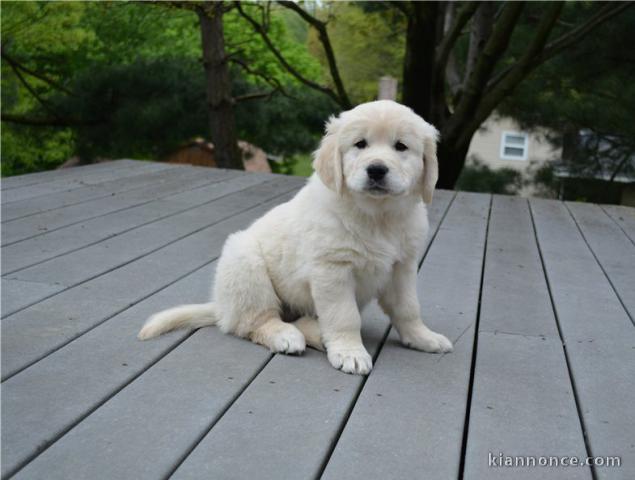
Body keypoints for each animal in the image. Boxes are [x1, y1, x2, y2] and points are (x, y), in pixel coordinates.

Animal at [140, 99, 452, 374]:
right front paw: (350, 352)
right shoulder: (333, 270)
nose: (376, 170)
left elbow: (408, 307)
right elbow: (344, 316)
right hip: (246, 266)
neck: (377, 216)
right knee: (253, 322)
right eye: (360, 144)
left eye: (401, 147)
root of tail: (222, 307)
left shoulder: (402, 267)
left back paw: (315, 333)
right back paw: (287, 335)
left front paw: (423, 337)